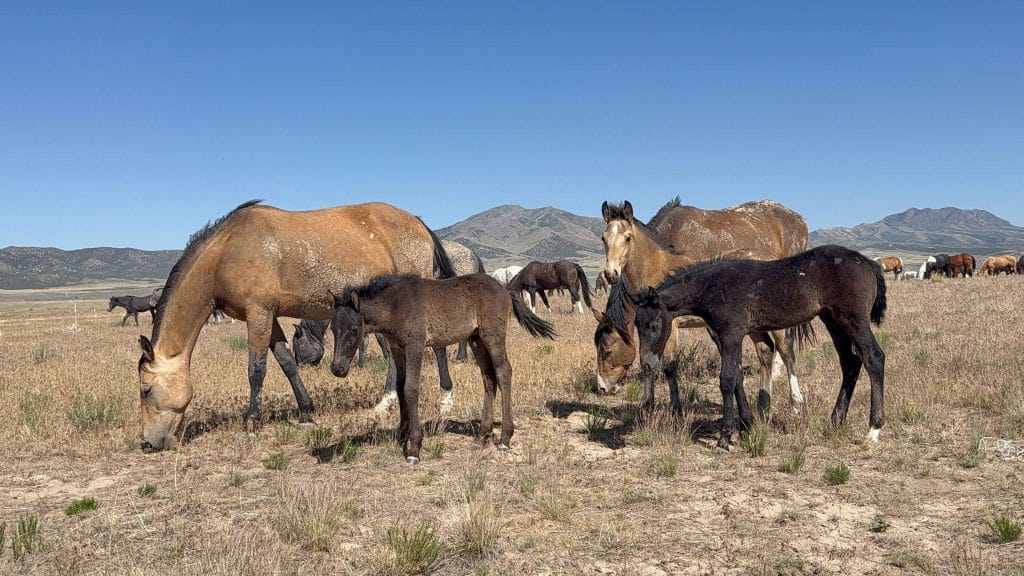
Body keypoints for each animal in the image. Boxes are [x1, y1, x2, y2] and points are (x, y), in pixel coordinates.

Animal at [136, 200, 457, 453]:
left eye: (146, 390)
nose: (149, 443)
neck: (227, 252)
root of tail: (417, 221)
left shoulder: (258, 313)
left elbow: (256, 369)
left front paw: (252, 421)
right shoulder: (269, 317)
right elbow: (286, 362)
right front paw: (306, 412)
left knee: (436, 347)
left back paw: (441, 402)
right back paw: (388, 402)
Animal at [329, 273, 557, 463]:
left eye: (354, 329)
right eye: (332, 328)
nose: (337, 369)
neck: (395, 305)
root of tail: (504, 288)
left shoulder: (415, 346)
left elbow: (410, 389)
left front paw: (414, 448)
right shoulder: (397, 349)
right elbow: (400, 387)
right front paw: (402, 435)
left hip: (493, 335)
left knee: (504, 372)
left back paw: (504, 439)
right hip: (476, 339)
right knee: (489, 377)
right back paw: (483, 435)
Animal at [596, 199, 810, 414]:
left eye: (627, 238)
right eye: (603, 238)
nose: (602, 388)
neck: (656, 268)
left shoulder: (671, 327)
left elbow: (668, 366)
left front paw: (676, 410)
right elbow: (647, 363)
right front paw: (648, 405)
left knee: (786, 350)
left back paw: (795, 404)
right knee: (765, 350)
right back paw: (763, 405)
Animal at [626, 245, 887, 450]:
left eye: (654, 324)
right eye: (636, 324)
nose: (647, 363)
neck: (713, 286)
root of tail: (870, 264)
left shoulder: (731, 335)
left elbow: (727, 380)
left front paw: (725, 437)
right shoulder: (727, 337)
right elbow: (737, 377)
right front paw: (745, 428)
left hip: (854, 320)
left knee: (874, 357)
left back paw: (873, 430)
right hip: (832, 320)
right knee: (850, 362)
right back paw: (836, 420)